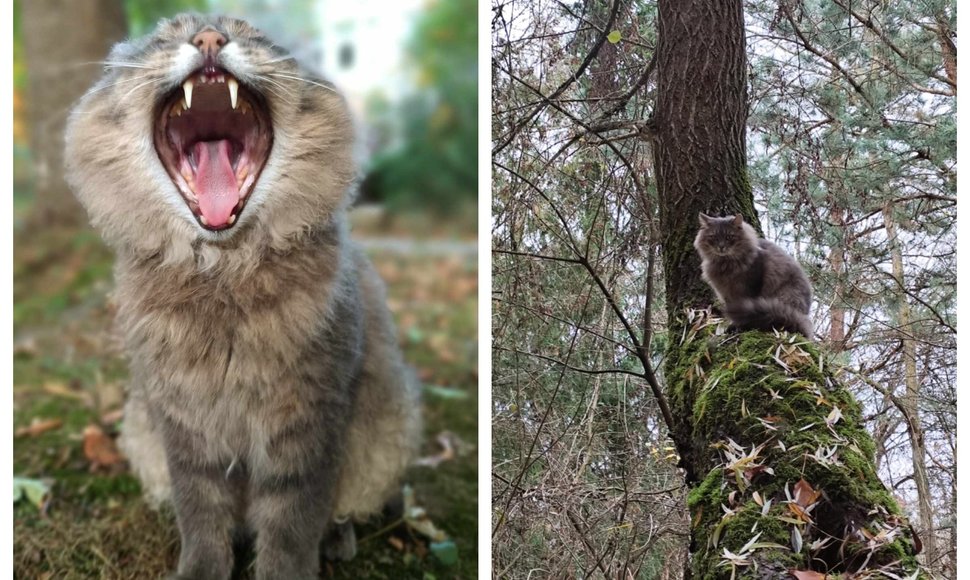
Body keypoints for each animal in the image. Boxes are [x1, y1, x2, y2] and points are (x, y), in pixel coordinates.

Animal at [64, 14, 420, 580]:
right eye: (166, 36)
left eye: (250, 33)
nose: (209, 39)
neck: (223, 274)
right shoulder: (184, 429)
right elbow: (201, 517)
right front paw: (201, 569)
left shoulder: (307, 425)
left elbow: (292, 525)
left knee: (347, 510)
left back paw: (339, 540)